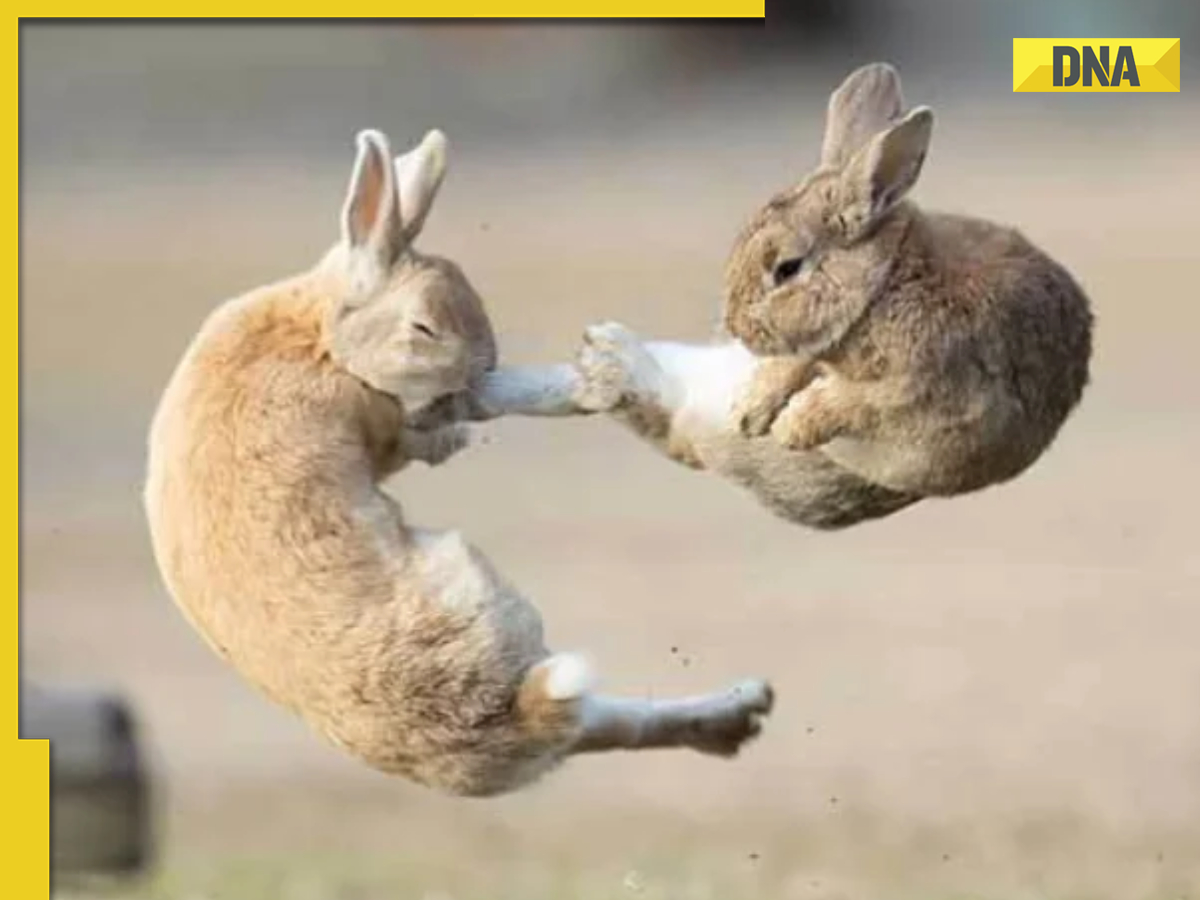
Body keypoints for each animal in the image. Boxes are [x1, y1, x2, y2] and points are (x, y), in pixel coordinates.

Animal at [143, 127, 773, 799]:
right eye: (423, 327)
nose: (481, 370)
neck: (322, 335)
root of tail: (513, 718)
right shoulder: (383, 421)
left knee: (608, 724)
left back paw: (742, 709)